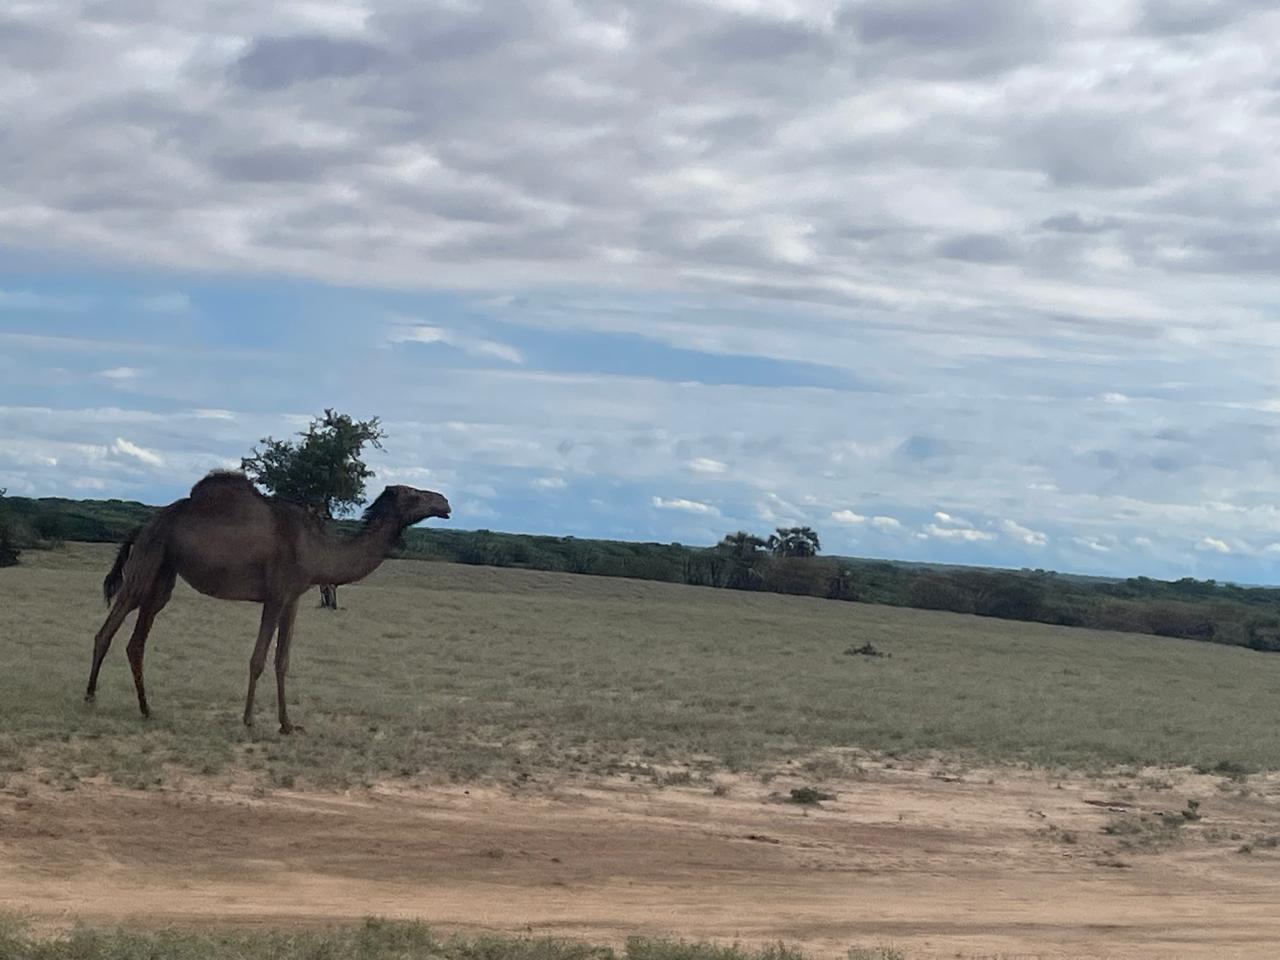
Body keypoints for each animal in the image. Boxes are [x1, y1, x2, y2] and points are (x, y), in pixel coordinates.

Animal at [84, 471, 451, 733]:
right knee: (107, 630)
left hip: (164, 574)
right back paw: (90, 697)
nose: (445, 502)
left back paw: (147, 709)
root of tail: (144, 525)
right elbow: (258, 658)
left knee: (136, 642)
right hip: (147, 562)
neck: (317, 551)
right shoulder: (274, 595)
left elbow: (282, 660)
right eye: (414, 494)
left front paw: (288, 724)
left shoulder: (293, 598)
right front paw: (248, 720)